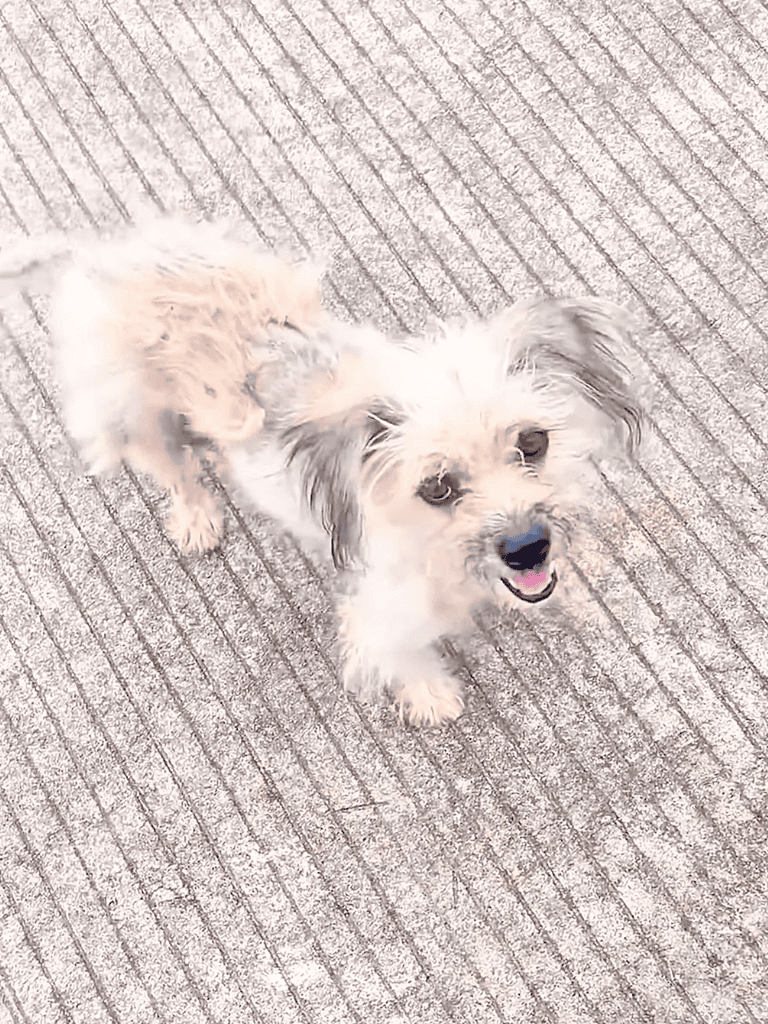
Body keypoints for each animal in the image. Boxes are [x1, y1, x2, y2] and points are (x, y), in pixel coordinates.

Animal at [230, 296, 644, 726]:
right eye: (437, 487)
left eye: (533, 442)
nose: (527, 549)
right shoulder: (379, 608)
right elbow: (398, 652)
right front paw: (430, 691)